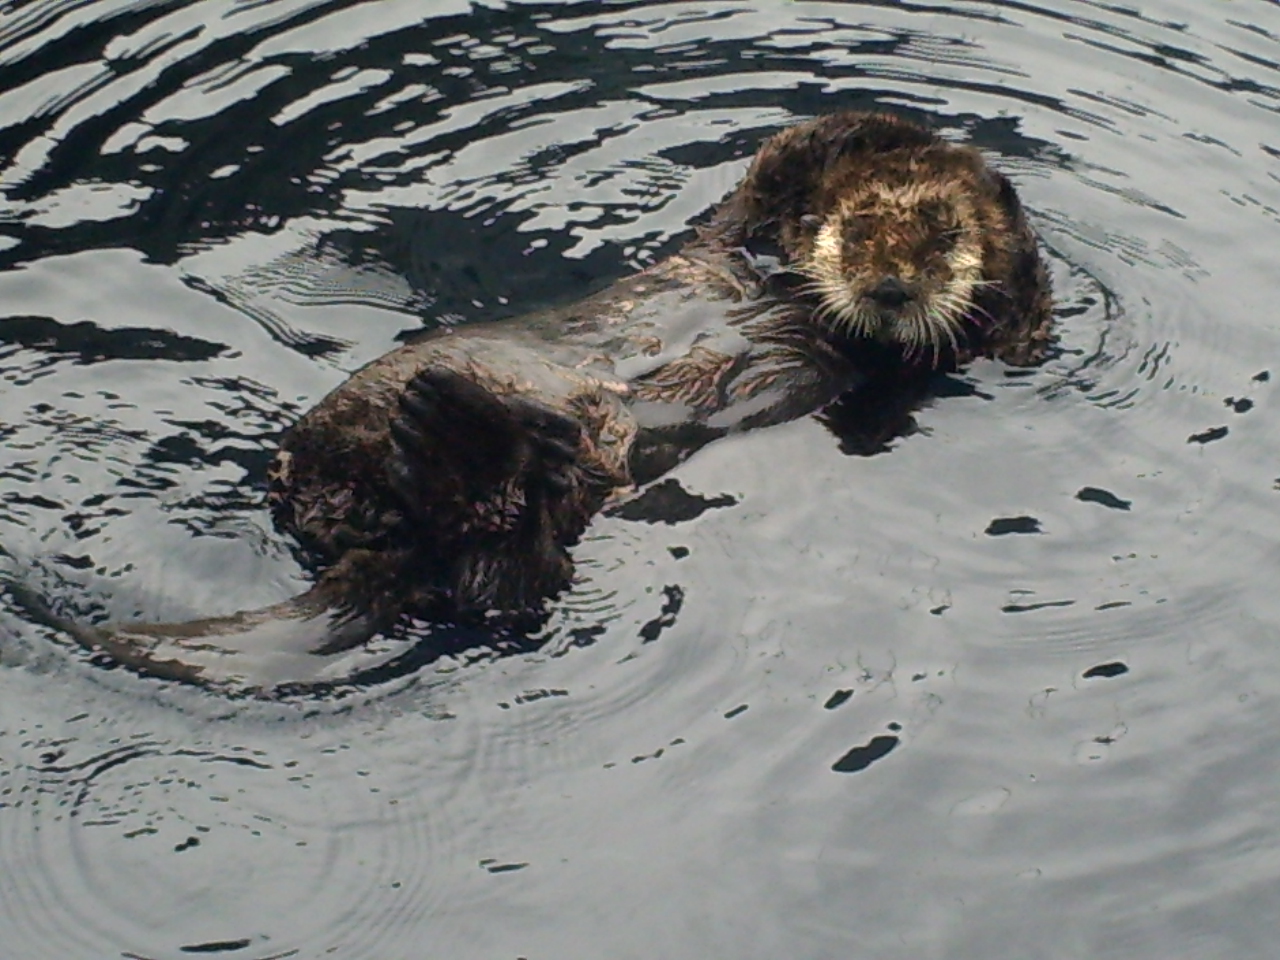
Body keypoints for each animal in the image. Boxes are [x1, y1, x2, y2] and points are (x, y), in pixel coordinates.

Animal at [8, 111, 1052, 692]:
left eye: (946, 239)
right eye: (861, 226)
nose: (892, 285)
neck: (797, 293)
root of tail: (379, 541)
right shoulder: (738, 229)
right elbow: (768, 174)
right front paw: (883, 136)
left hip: (535, 516)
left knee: (508, 579)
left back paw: (461, 437)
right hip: (333, 465)